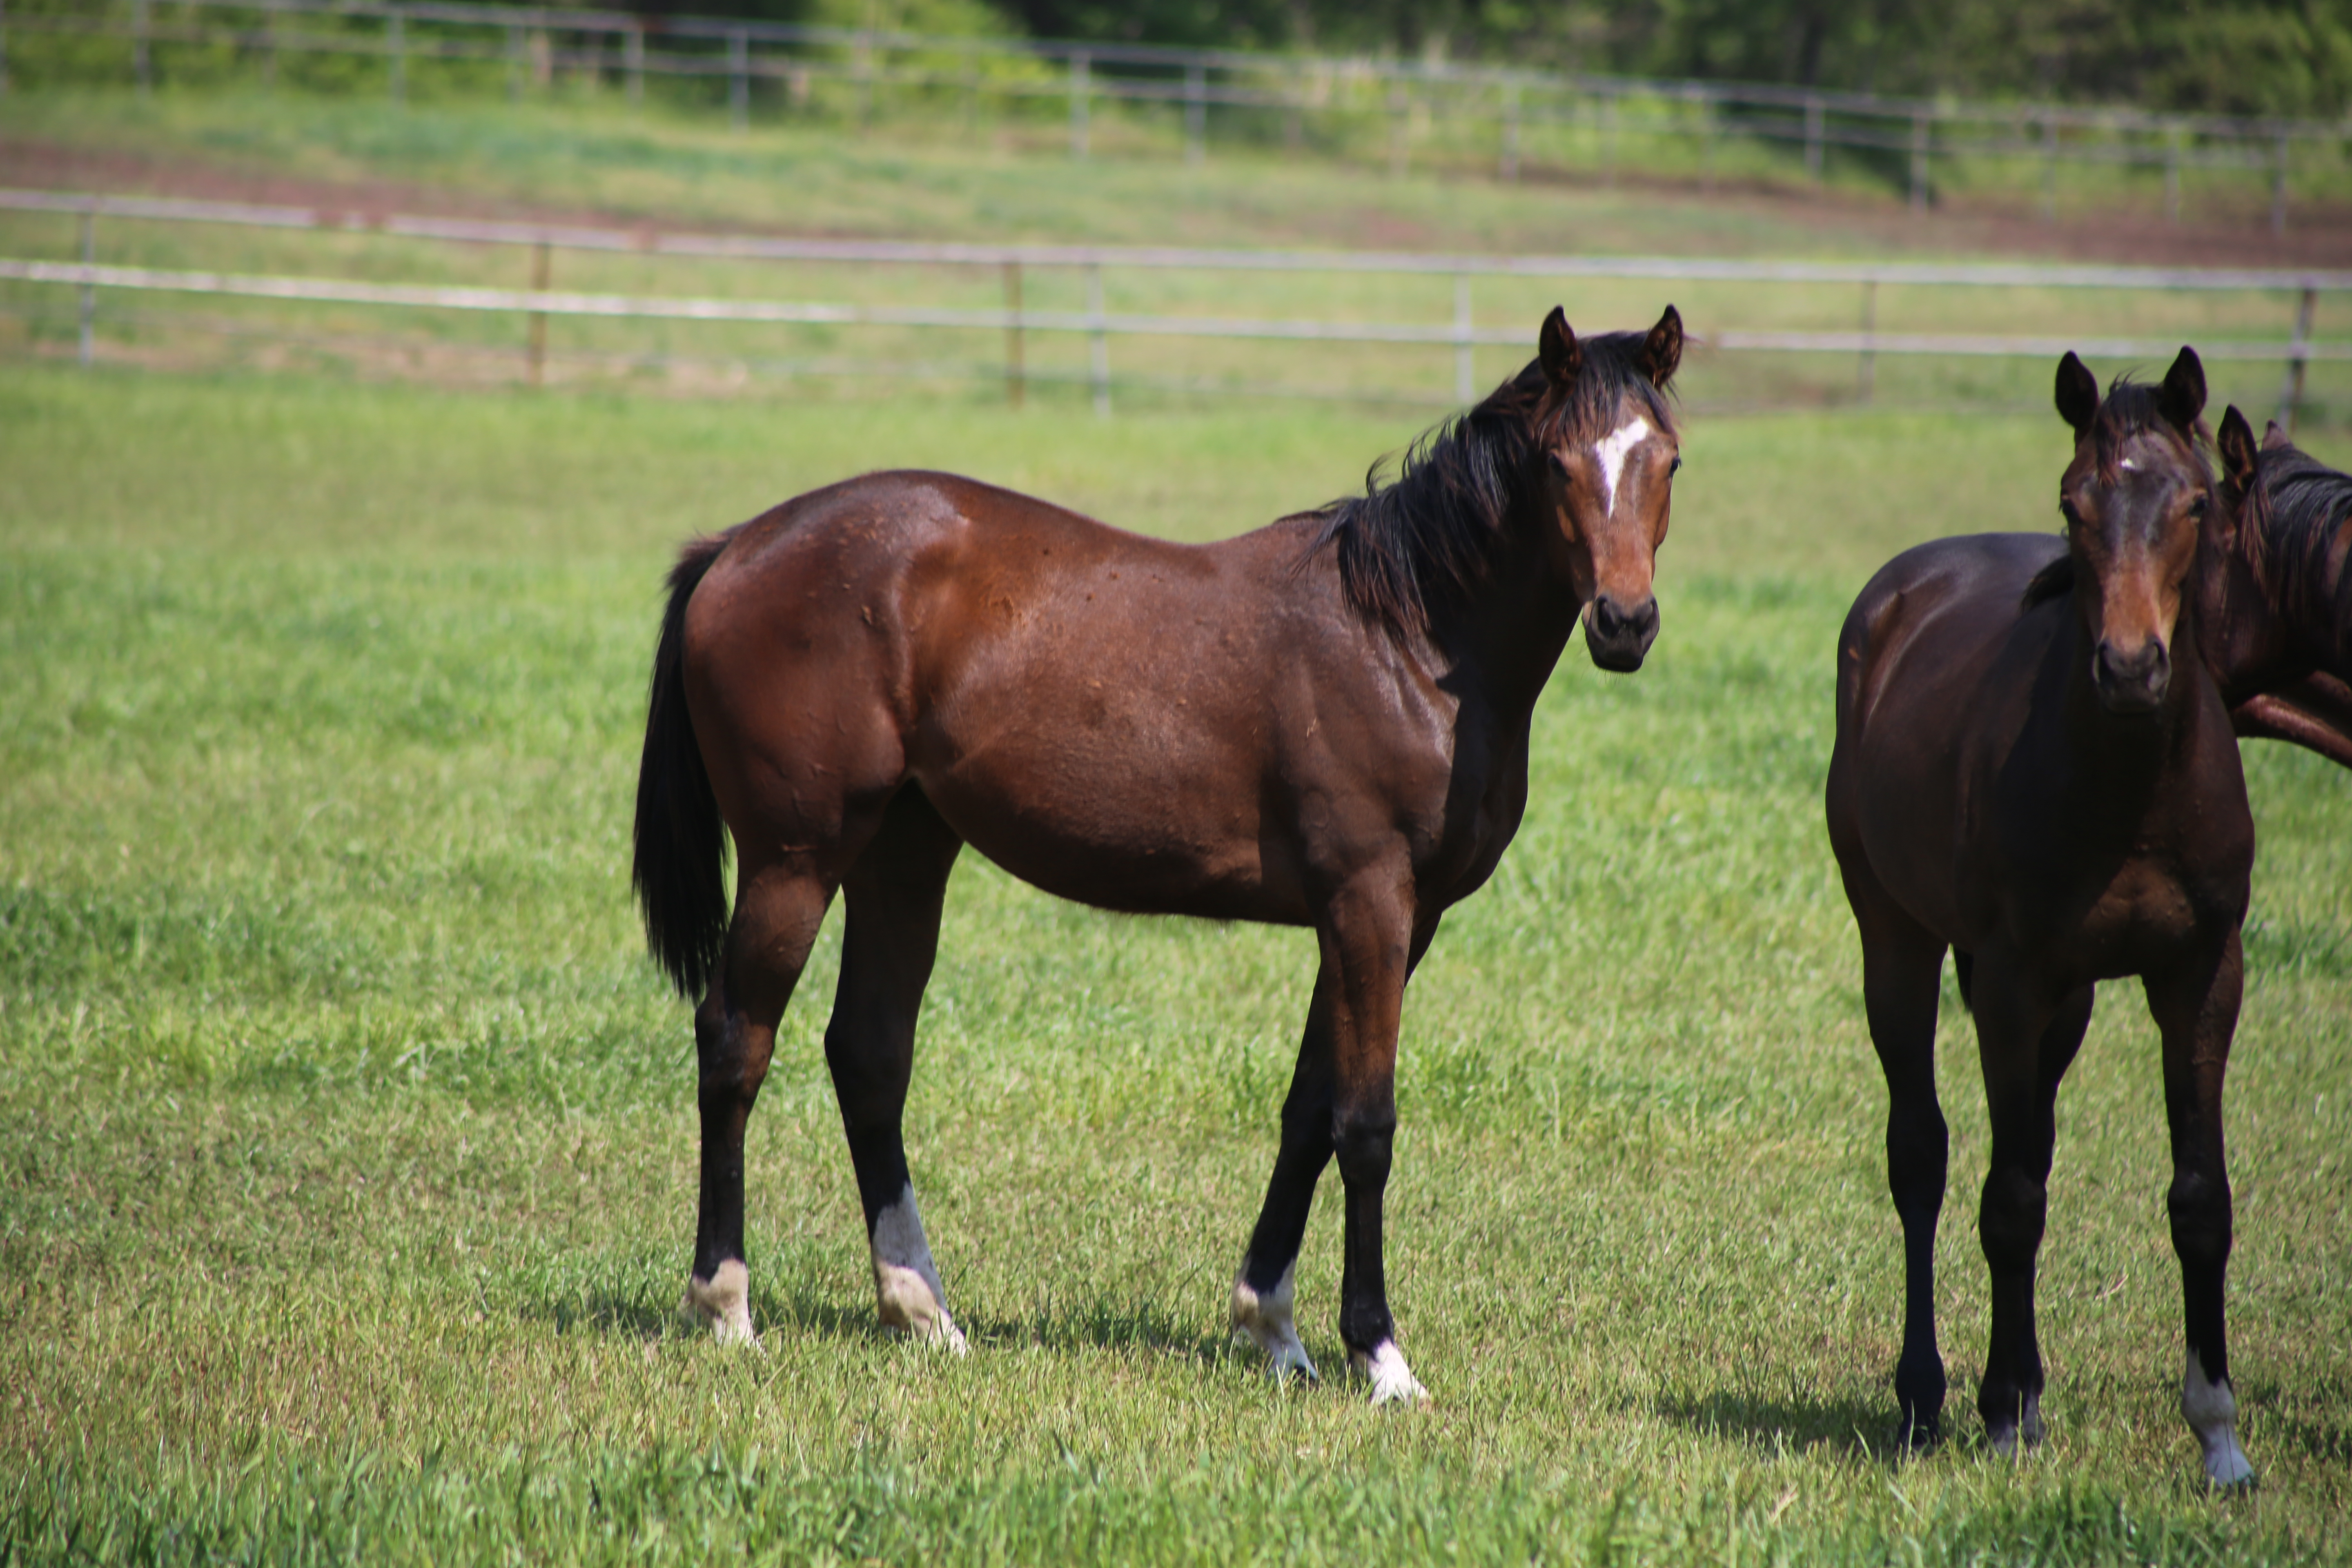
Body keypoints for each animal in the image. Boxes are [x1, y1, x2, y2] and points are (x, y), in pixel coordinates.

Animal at [635, 305, 1684, 1410]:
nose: (1624, 623)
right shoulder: (1369, 902)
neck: (1404, 637)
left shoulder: (1388, 918)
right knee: (735, 1041)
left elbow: (1307, 1110)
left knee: (870, 1053)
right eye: (1558, 463)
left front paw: (1272, 1327)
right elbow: (1364, 1125)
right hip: (795, 860)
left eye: (1666, 460)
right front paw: (1380, 1354)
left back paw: (923, 1311)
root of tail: (734, 547)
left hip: (904, 852)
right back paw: (726, 1306)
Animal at [1825, 350, 2248, 1495]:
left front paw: (2218, 1435)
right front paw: (2006, 1418)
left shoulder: (2202, 974)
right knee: (1923, 1159)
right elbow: (2007, 1199)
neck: (2131, 791)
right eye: (2073, 505)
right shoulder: (2012, 980)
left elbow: (2199, 1199)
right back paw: (1931, 1395)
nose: (2130, 669)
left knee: (2032, 1148)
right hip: (1898, 940)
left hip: (2068, 1003)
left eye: (2195, 503)